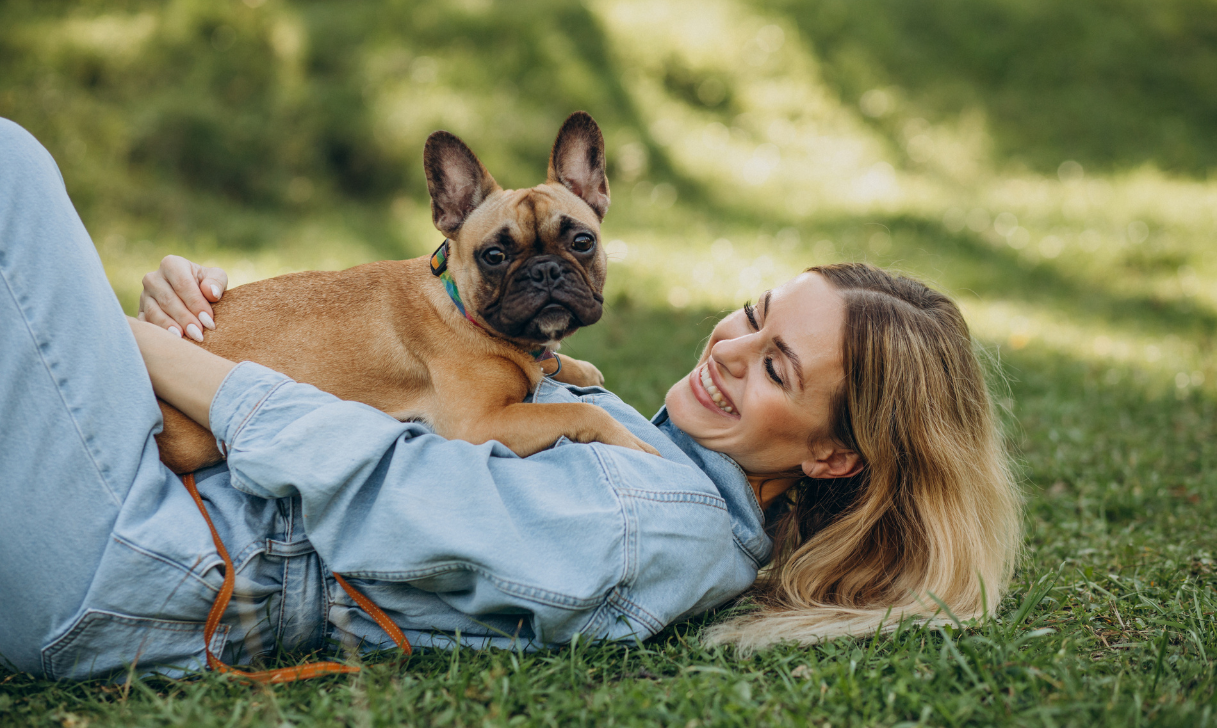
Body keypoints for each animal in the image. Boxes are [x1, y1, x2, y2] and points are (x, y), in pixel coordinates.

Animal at [159, 108, 666, 474]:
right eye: (494, 255)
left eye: (582, 242)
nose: (545, 271)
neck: (460, 308)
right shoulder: (481, 424)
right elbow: (581, 415)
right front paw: (638, 445)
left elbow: (554, 366)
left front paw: (575, 366)